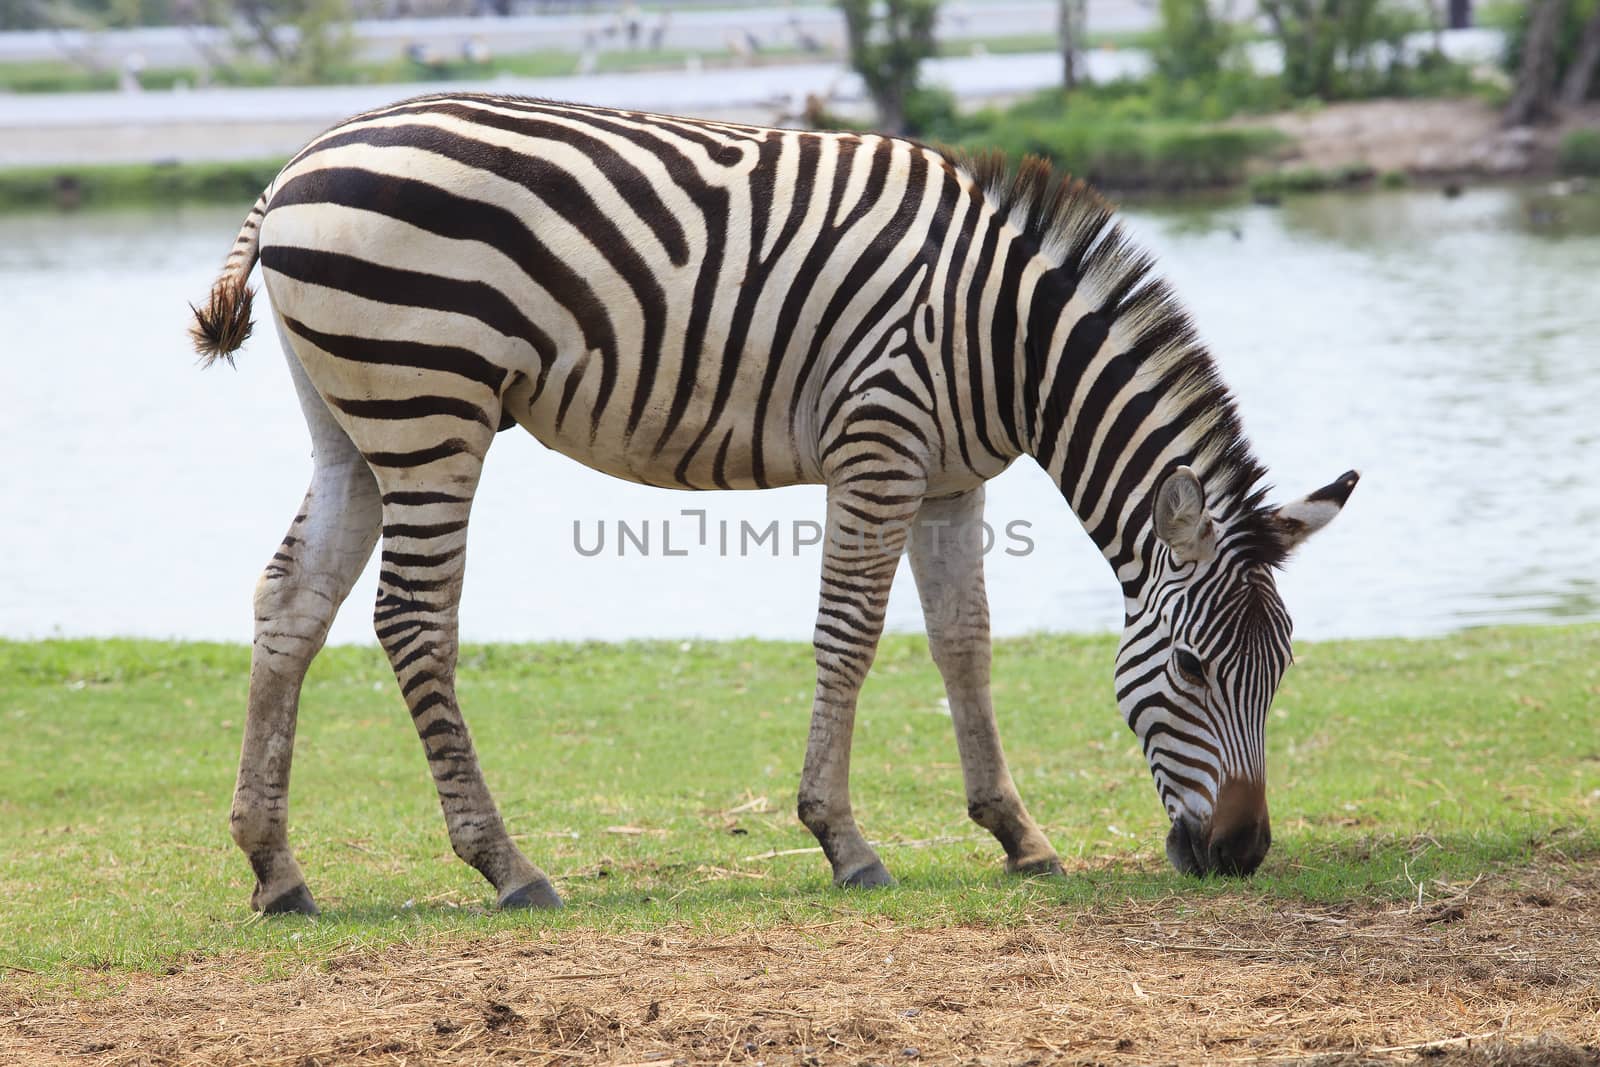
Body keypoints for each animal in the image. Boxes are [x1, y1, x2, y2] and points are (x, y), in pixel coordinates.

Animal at [193, 91, 1356, 915]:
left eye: (1283, 670)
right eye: (1195, 668)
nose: (1243, 854)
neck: (1007, 338)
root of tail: (296, 164)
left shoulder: (951, 479)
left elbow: (964, 642)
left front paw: (1017, 835)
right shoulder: (879, 446)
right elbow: (851, 636)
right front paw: (844, 840)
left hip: (354, 422)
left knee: (290, 603)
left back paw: (275, 869)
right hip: (432, 404)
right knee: (411, 621)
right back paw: (507, 864)